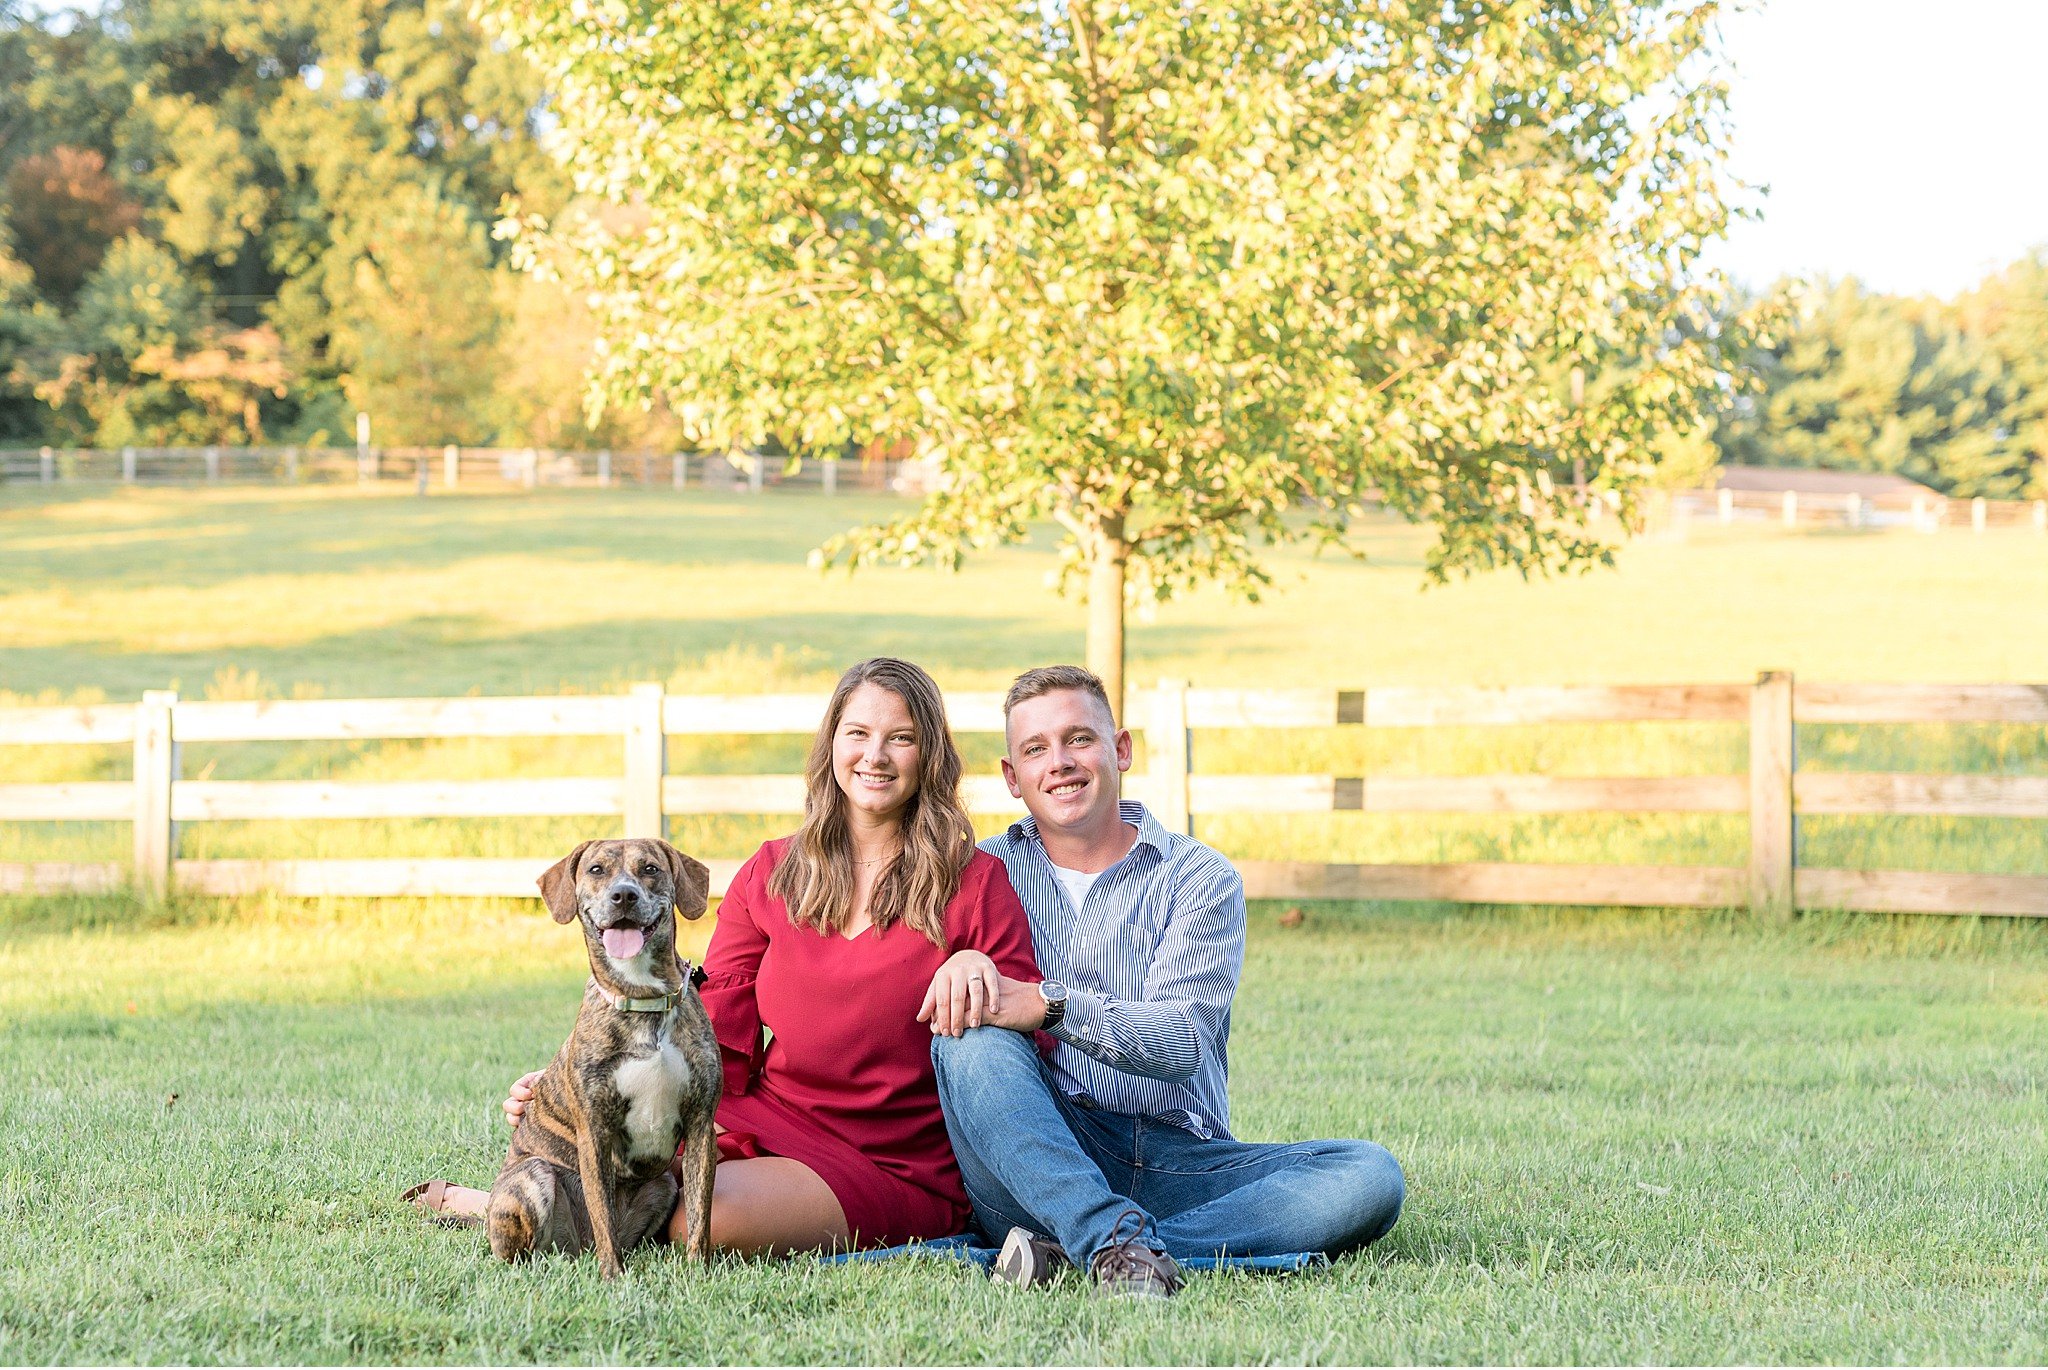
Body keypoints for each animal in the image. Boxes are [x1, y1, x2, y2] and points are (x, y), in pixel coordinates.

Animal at [487, 839, 720, 1277]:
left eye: (650, 869)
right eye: (596, 870)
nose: (623, 895)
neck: (642, 999)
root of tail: (575, 1247)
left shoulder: (701, 1124)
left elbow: (701, 1214)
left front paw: (698, 1272)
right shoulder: (594, 1132)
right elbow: (603, 1214)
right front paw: (614, 1278)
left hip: (664, 1184)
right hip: (531, 1177)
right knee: (527, 1252)